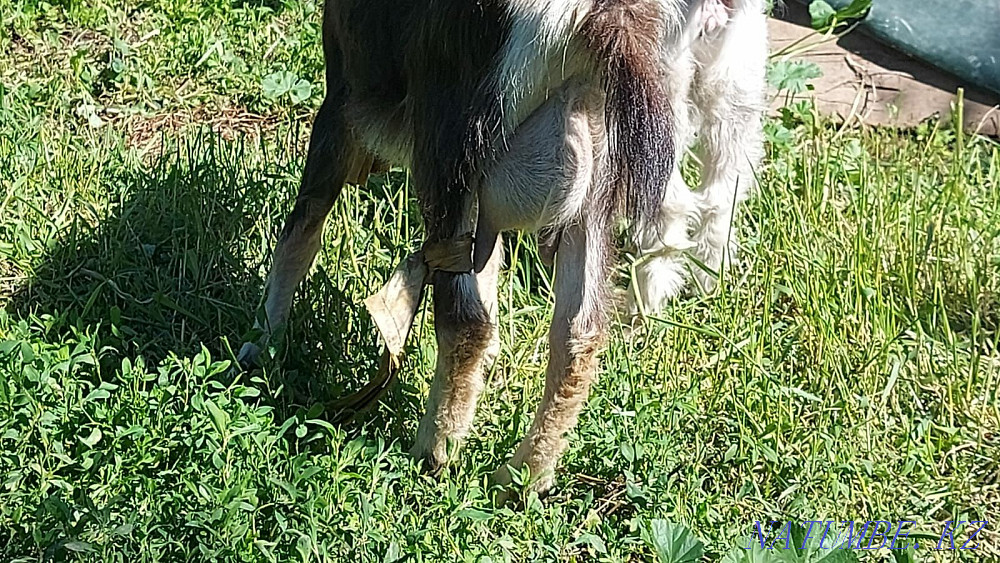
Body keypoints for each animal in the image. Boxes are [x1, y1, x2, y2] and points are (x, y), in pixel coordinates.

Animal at [238, 0, 767, 497]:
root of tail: (602, 16)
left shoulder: (342, 103)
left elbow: (301, 230)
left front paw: (263, 344)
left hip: (453, 148)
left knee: (464, 314)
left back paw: (435, 451)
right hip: (602, 176)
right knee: (581, 330)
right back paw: (522, 476)